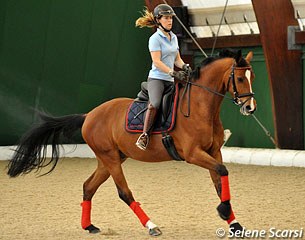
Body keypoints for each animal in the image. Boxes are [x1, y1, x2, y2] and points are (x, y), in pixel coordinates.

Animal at [6, 49, 254, 237]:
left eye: (252, 77)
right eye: (240, 78)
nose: (250, 108)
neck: (201, 108)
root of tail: (89, 115)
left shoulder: (214, 151)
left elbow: (220, 180)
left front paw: (234, 223)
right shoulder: (193, 154)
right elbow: (222, 172)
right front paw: (224, 211)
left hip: (110, 159)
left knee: (88, 186)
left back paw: (89, 226)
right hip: (111, 159)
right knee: (124, 193)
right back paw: (152, 226)